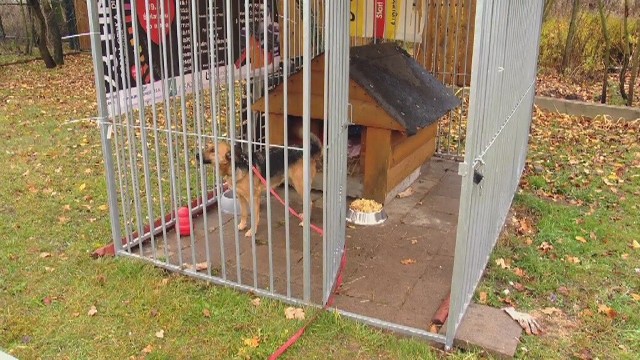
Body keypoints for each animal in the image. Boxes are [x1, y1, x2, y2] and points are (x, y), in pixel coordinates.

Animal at [196, 116, 324, 238]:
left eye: (213, 150)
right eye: (206, 146)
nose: (196, 155)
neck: (235, 167)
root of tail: (308, 151)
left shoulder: (253, 198)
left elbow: (254, 217)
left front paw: (252, 231)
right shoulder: (240, 197)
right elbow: (244, 213)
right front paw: (242, 225)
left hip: (299, 185)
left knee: (310, 203)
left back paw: (304, 222)